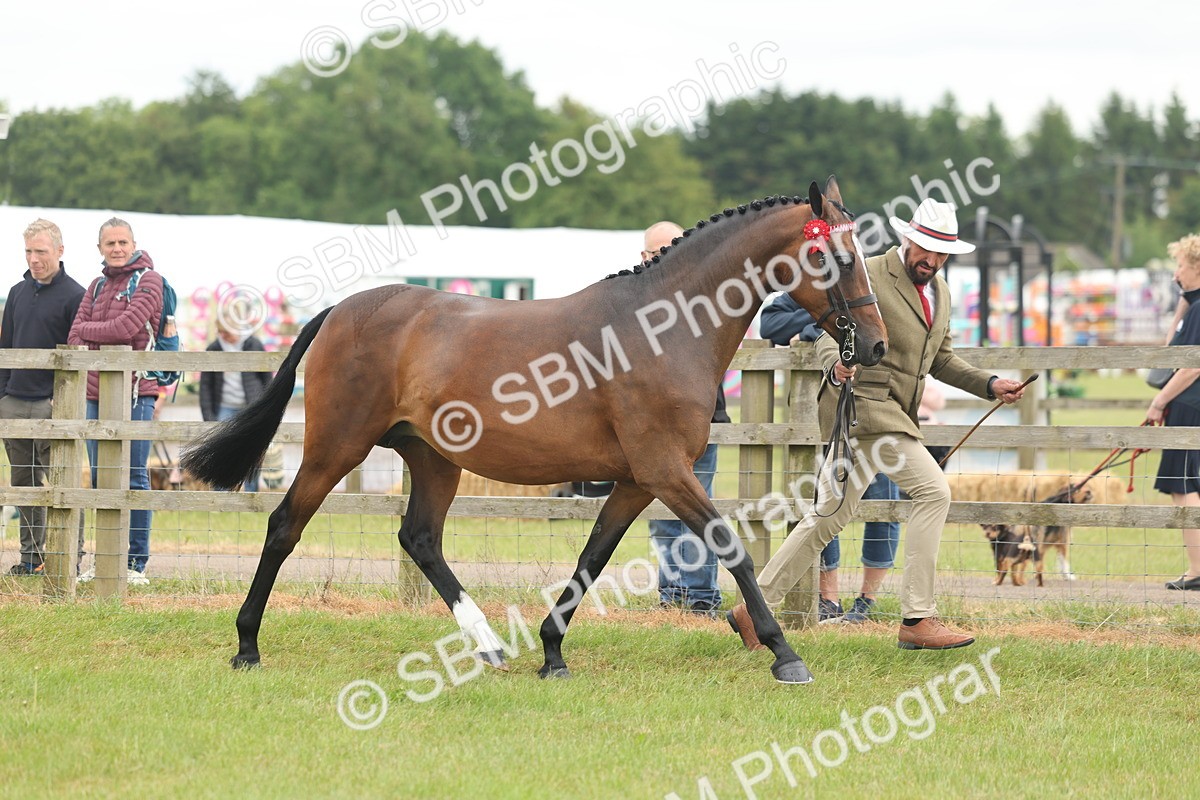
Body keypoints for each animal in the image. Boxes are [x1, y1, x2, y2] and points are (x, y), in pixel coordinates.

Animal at [181, 177, 887, 685]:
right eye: (833, 255)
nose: (876, 344)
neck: (661, 328)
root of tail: (341, 310)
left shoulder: (638, 481)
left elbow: (592, 559)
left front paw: (552, 653)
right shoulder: (666, 471)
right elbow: (730, 547)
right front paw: (783, 652)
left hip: (433, 457)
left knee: (420, 539)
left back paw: (491, 646)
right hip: (336, 446)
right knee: (285, 526)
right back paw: (247, 645)